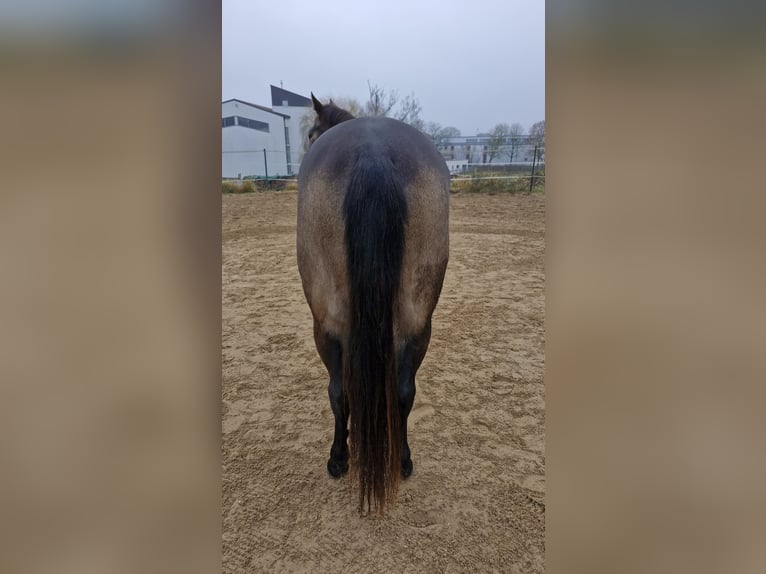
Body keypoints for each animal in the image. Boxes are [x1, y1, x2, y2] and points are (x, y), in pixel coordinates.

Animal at [297, 94, 449, 514]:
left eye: (311, 133)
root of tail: (373, 151)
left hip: (326, 324)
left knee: (339, 390)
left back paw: (338, 459)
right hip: (418, 321)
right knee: (403, 389)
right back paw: (402, 460)